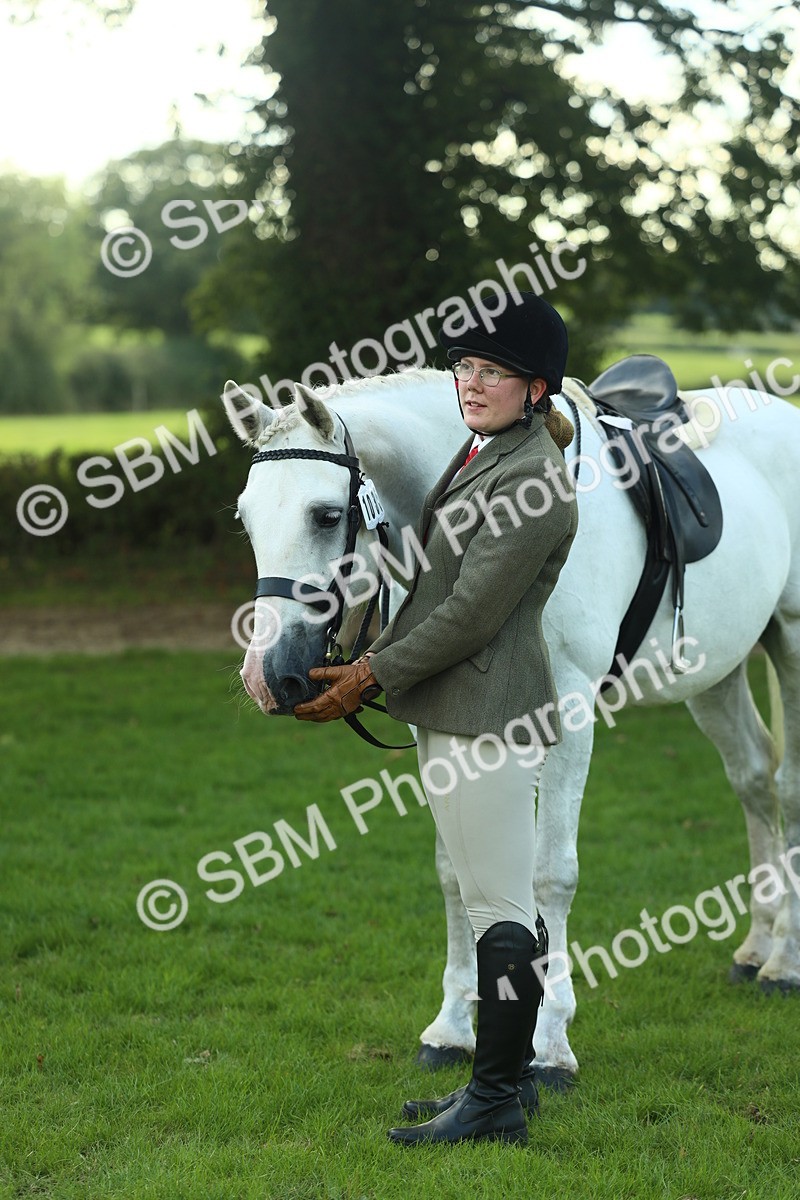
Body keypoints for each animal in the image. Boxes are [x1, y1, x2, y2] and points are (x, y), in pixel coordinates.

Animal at [222, 366, 800, 1087]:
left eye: (326, 515)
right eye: (246, 518)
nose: (266, 678)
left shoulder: (569, 714)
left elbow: (551, 873)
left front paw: (549, 1043)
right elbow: (459, 872)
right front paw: (452, 1028)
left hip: (791, 641)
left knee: (786, 788)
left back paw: (784, 962)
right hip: (715, 670)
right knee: (752, 779)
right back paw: (756, 947)